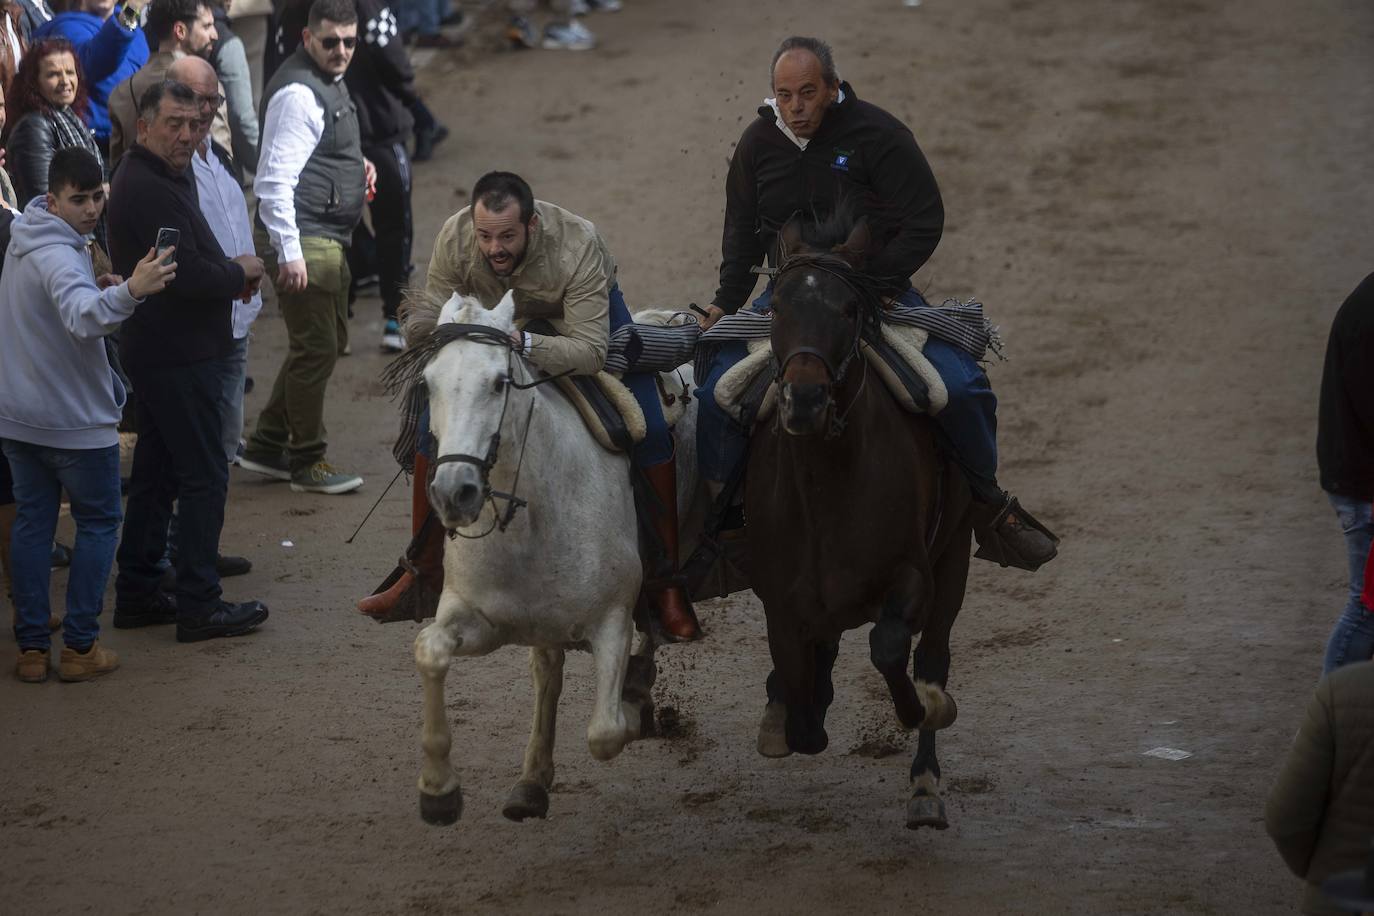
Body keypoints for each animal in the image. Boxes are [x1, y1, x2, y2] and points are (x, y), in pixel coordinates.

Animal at [406, 288, 697, 823]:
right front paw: (438, 791)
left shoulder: (611, 622)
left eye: (499, 381)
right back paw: (531, 781)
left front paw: (630, 702)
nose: (454, 492)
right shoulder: (481, 618)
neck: (532, 518)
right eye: (427, 384)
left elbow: (605, 732)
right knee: (547, 673)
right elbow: (430, 651)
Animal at [752, 211, 978, 829]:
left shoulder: (913, 575)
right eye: (776, 307)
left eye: (850, 309)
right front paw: (794, 708)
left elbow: (889, 648)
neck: (830, 490)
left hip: (954, 555)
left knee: (933, 653)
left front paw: (925, 707)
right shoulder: (781, 602)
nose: (805, 400)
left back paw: (926, 782)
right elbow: (803, 722)